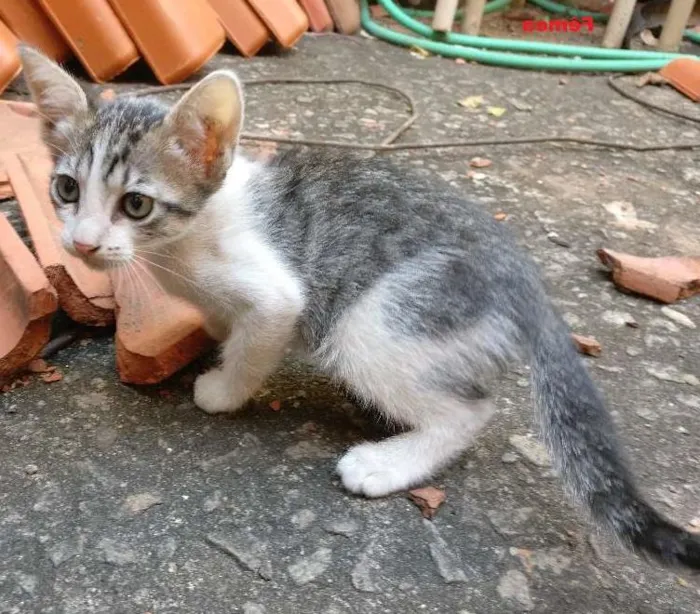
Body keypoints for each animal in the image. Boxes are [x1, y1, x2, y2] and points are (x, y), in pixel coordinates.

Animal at [19, 47, 700, 572]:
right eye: (66, 189)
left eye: (136, 204)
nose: (82, 243)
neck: (183, 244)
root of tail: (527, 282)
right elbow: (222, 322)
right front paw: (214, 334)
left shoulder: (278, 295)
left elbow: (256, 343)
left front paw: (223, 389)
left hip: (373, 325)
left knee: (468, 412)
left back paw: (388, 462)